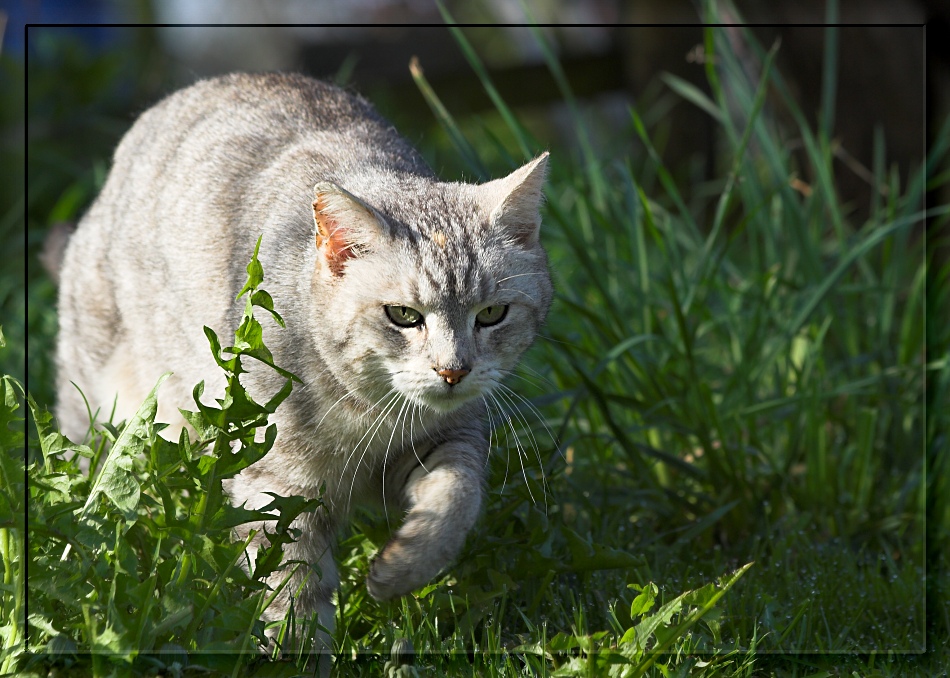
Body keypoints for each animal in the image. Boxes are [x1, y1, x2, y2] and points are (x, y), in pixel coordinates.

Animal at [54, 73, 556, 648]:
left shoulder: (451, 438)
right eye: (403, 315)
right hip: (100, 405)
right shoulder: (277, 486)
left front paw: (399, 569)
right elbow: (291, 591)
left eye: (491, 314)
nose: (454, 371)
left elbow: (456, 500)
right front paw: (297, 651)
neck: (369, 412)